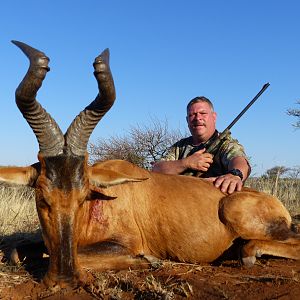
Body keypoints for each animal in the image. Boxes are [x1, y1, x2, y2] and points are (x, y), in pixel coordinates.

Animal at [0, 41, 298, 288]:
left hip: (241, 213)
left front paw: (150, 261)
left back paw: (248, 254)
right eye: (42, 198)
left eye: (84, 196)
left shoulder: (125, 243)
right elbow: (17, 252)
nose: (65, 280)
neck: (101, 202)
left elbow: (69, 256)